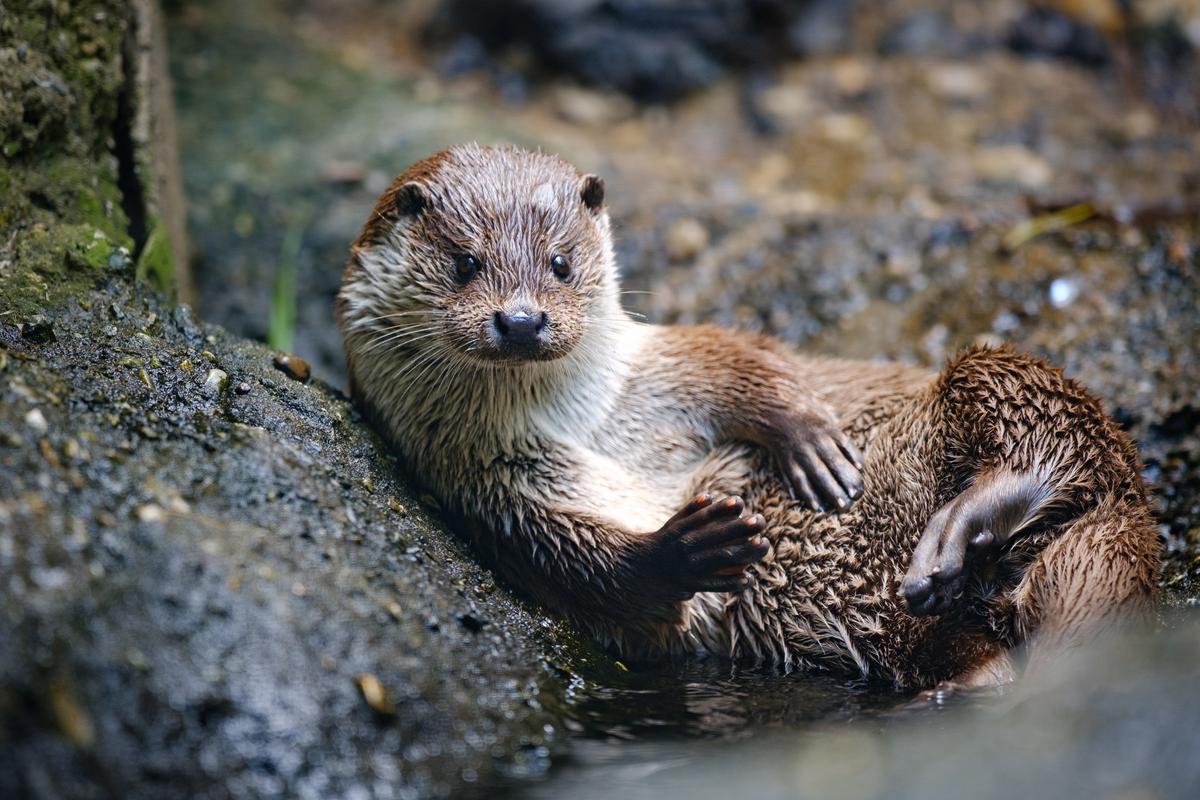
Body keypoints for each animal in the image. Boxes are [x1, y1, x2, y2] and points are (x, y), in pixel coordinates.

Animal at [337, 144, 1159, 690]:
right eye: (465, 263)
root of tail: (1133, 522)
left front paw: (812, 441)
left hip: (1009, 383)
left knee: (1040, 435)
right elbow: (596, 574)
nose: (519, 319)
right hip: (913, 630)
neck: (597, 429)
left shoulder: (660, 364)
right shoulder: (500, 499)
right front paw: (688, 546)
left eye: (561, 263)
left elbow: (748, 360)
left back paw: (960, 531)